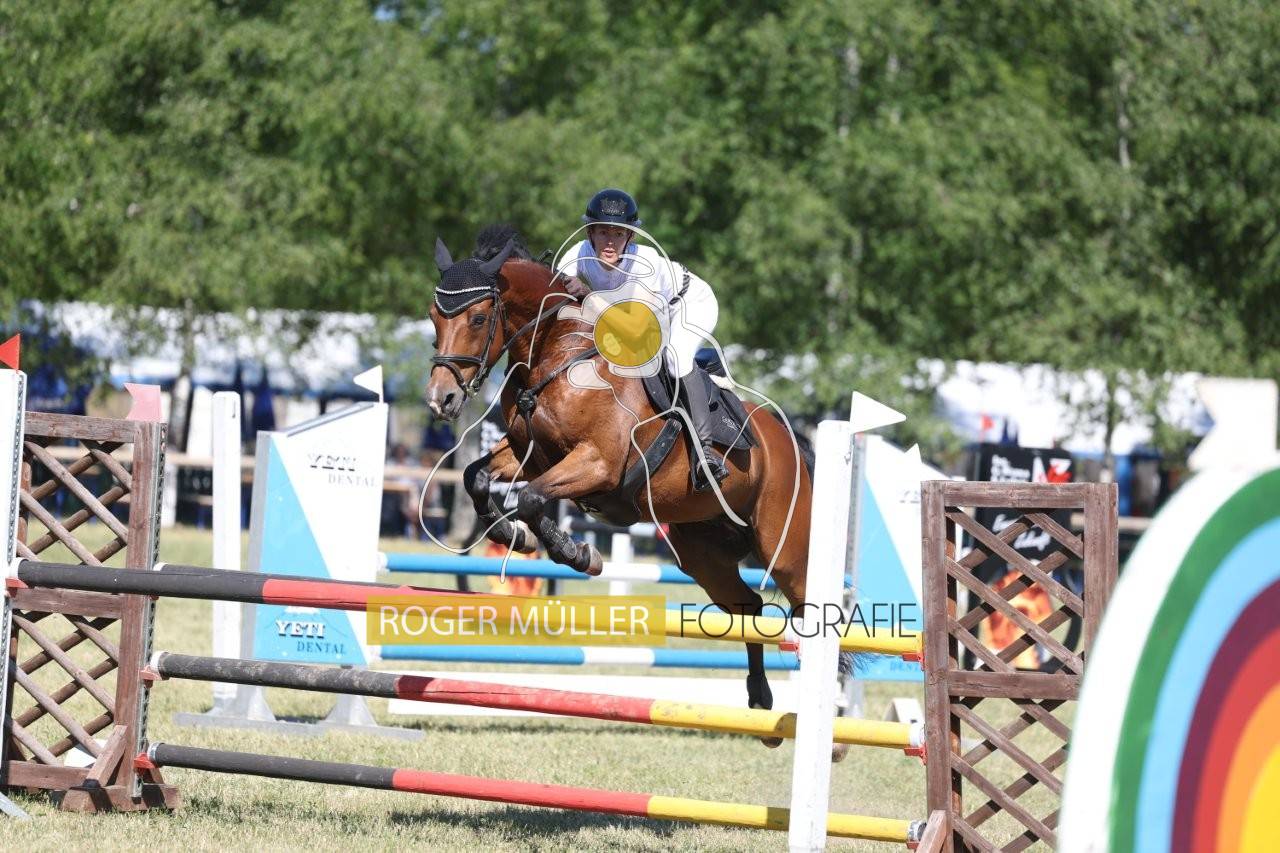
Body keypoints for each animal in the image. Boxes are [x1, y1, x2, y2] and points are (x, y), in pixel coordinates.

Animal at [425, 226, 836, 748]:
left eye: (479, 318)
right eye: (433, 316)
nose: (441, 399)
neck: (554, 358)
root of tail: (790, 439)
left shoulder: (597, 464)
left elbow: (534, 498)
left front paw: (577, 553)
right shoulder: (528, 456)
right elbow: (476, 477)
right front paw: (509, 534)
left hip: (783, 549)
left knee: (810, 608)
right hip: (699, 552)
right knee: (749, 606)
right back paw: (762, 705)